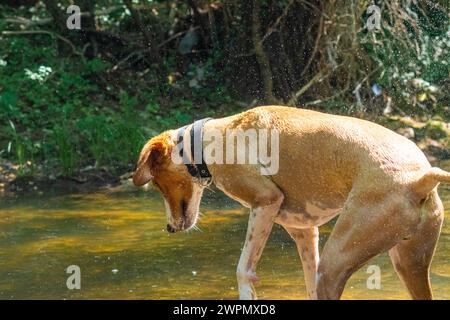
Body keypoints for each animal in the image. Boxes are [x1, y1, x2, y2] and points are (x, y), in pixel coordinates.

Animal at [132, 105, 448, 300]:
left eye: (156, 183)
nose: (170, 228)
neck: (207, 141)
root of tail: (422, 176)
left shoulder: (264, 202)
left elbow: (243, 270)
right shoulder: (304, 233)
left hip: (337, 261)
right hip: (409, 263)